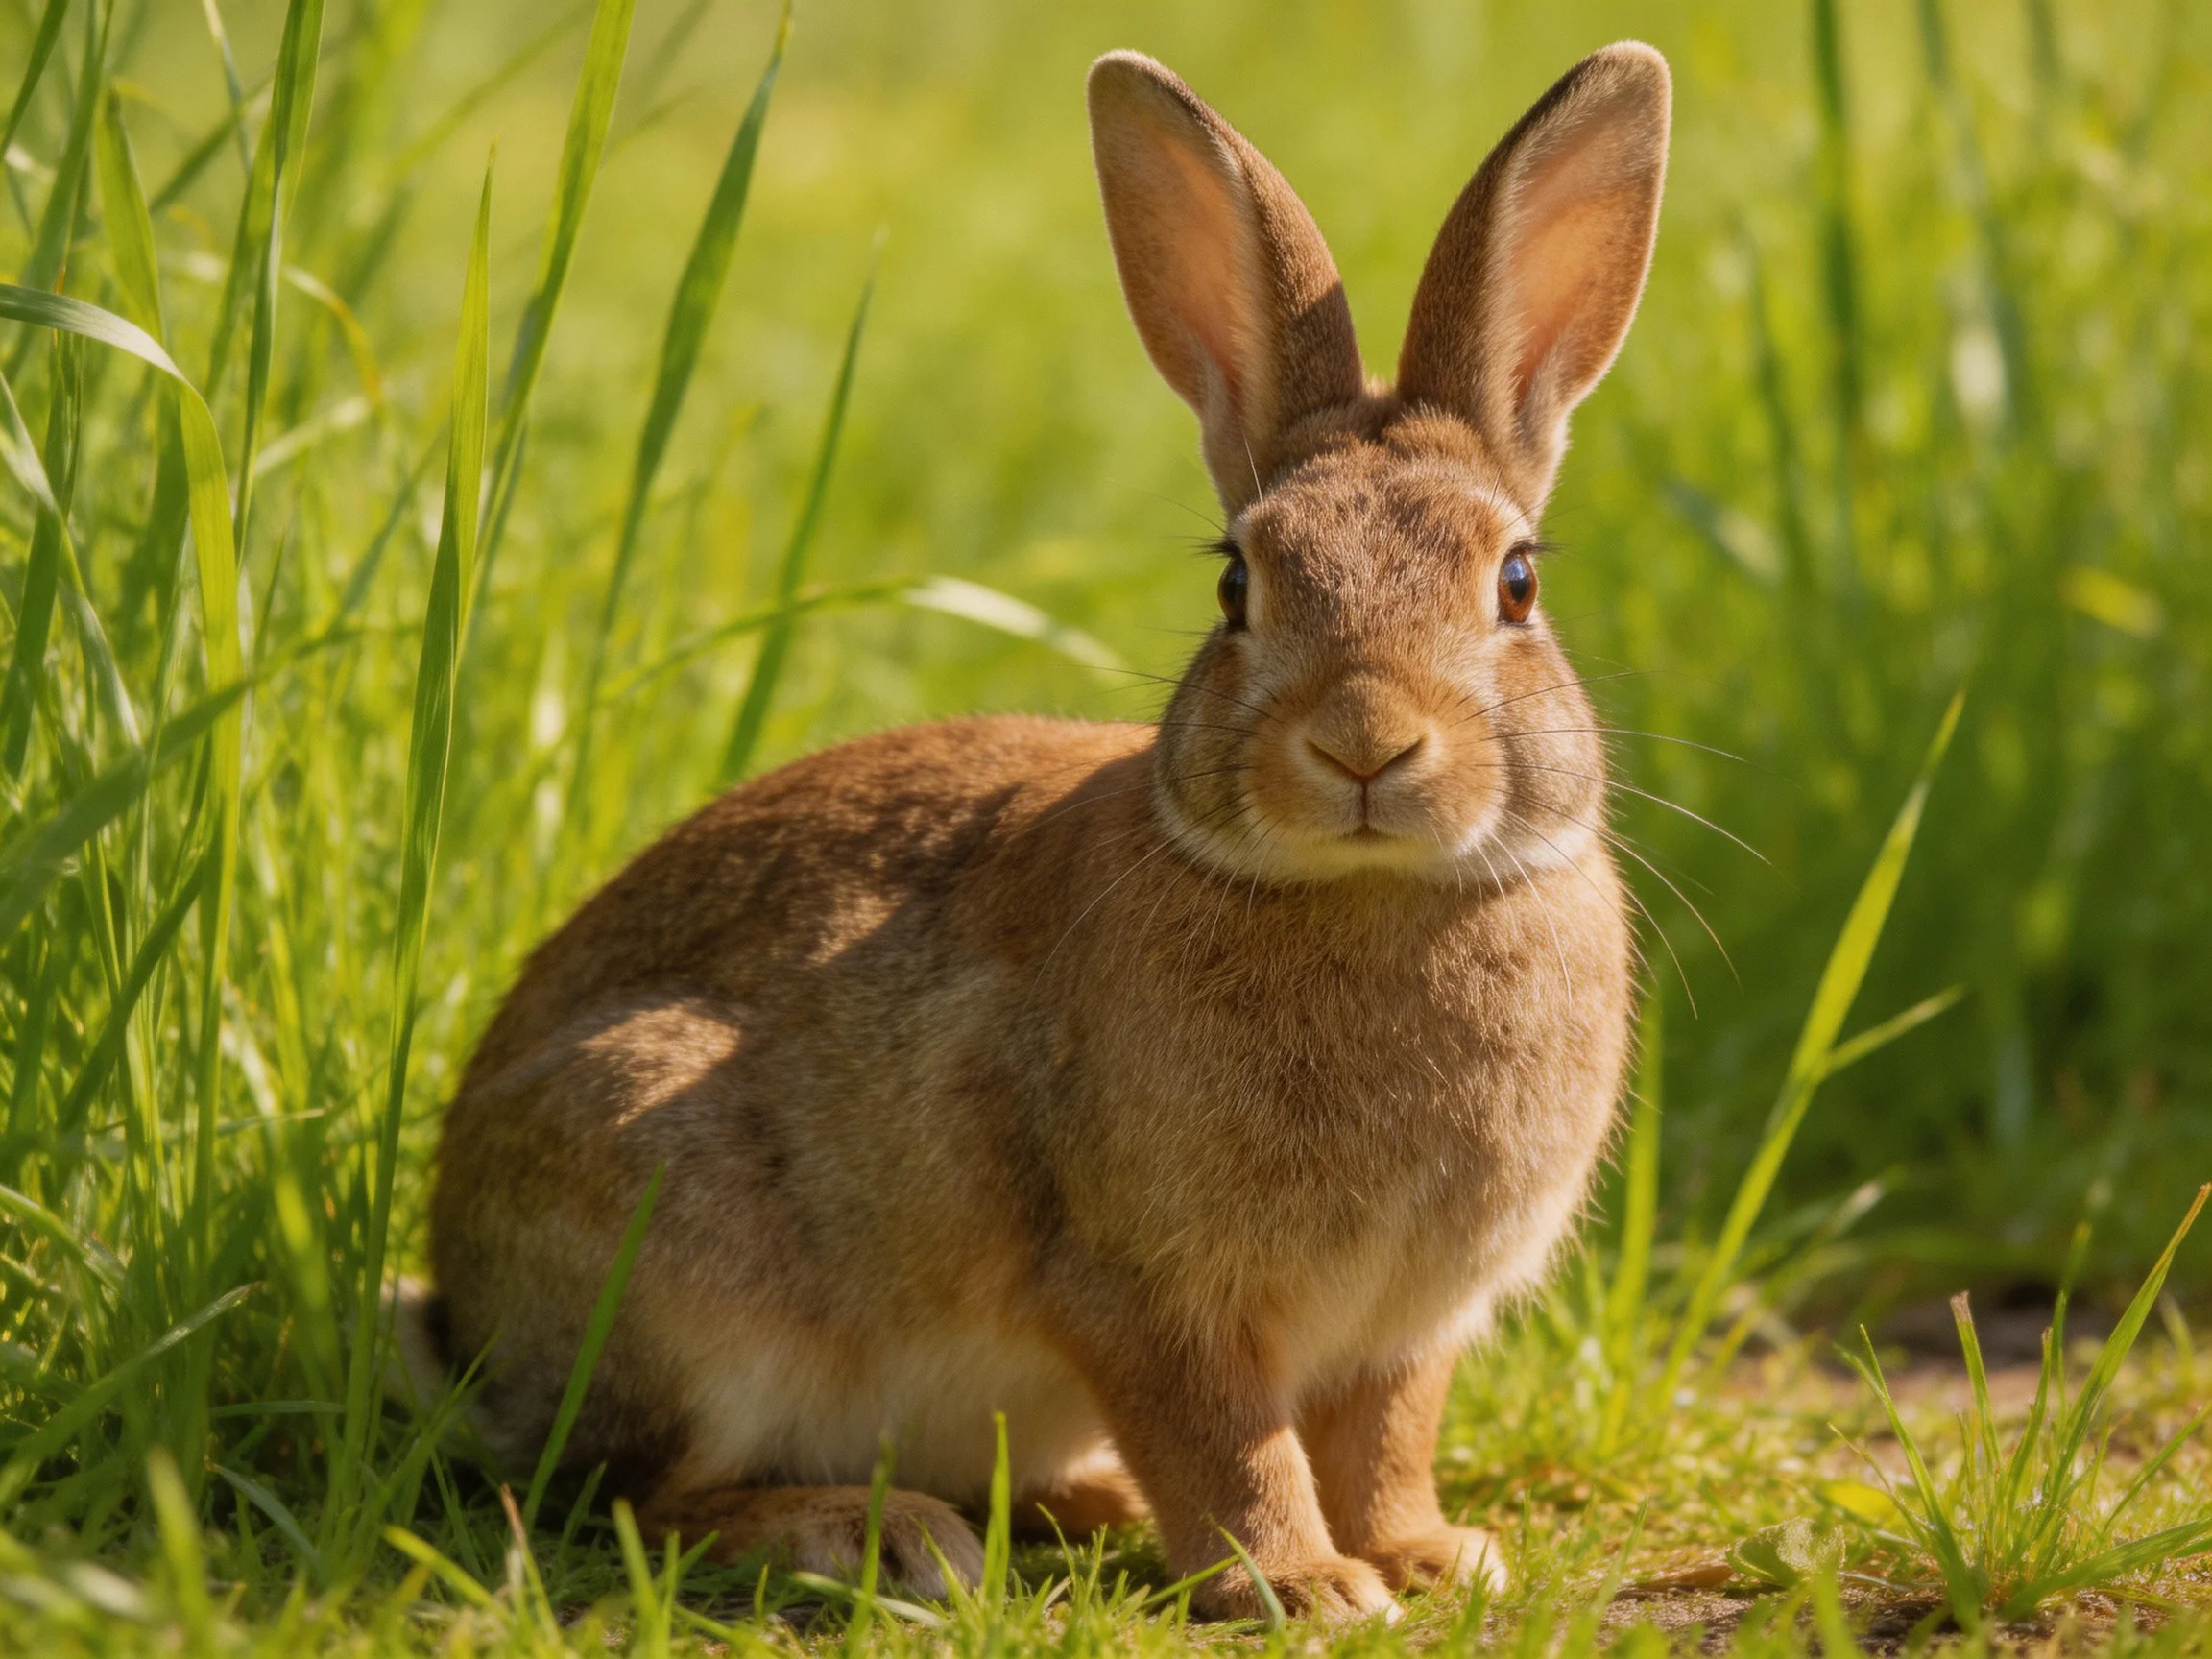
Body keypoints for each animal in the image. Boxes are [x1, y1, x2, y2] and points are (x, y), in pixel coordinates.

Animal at [398, 40, 1665, 1623]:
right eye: (1238, 584)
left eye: (1516, 582)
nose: (1365, 742)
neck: (1376, 893)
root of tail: (466, 1330)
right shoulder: (1143, 1290)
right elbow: (1228, 1439)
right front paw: (1299, 1585)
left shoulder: (1406, 1325)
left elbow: (1385, 1438)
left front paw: (1431, 1556)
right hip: (678, 1252)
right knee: (625, 1495)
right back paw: (876, 1536)